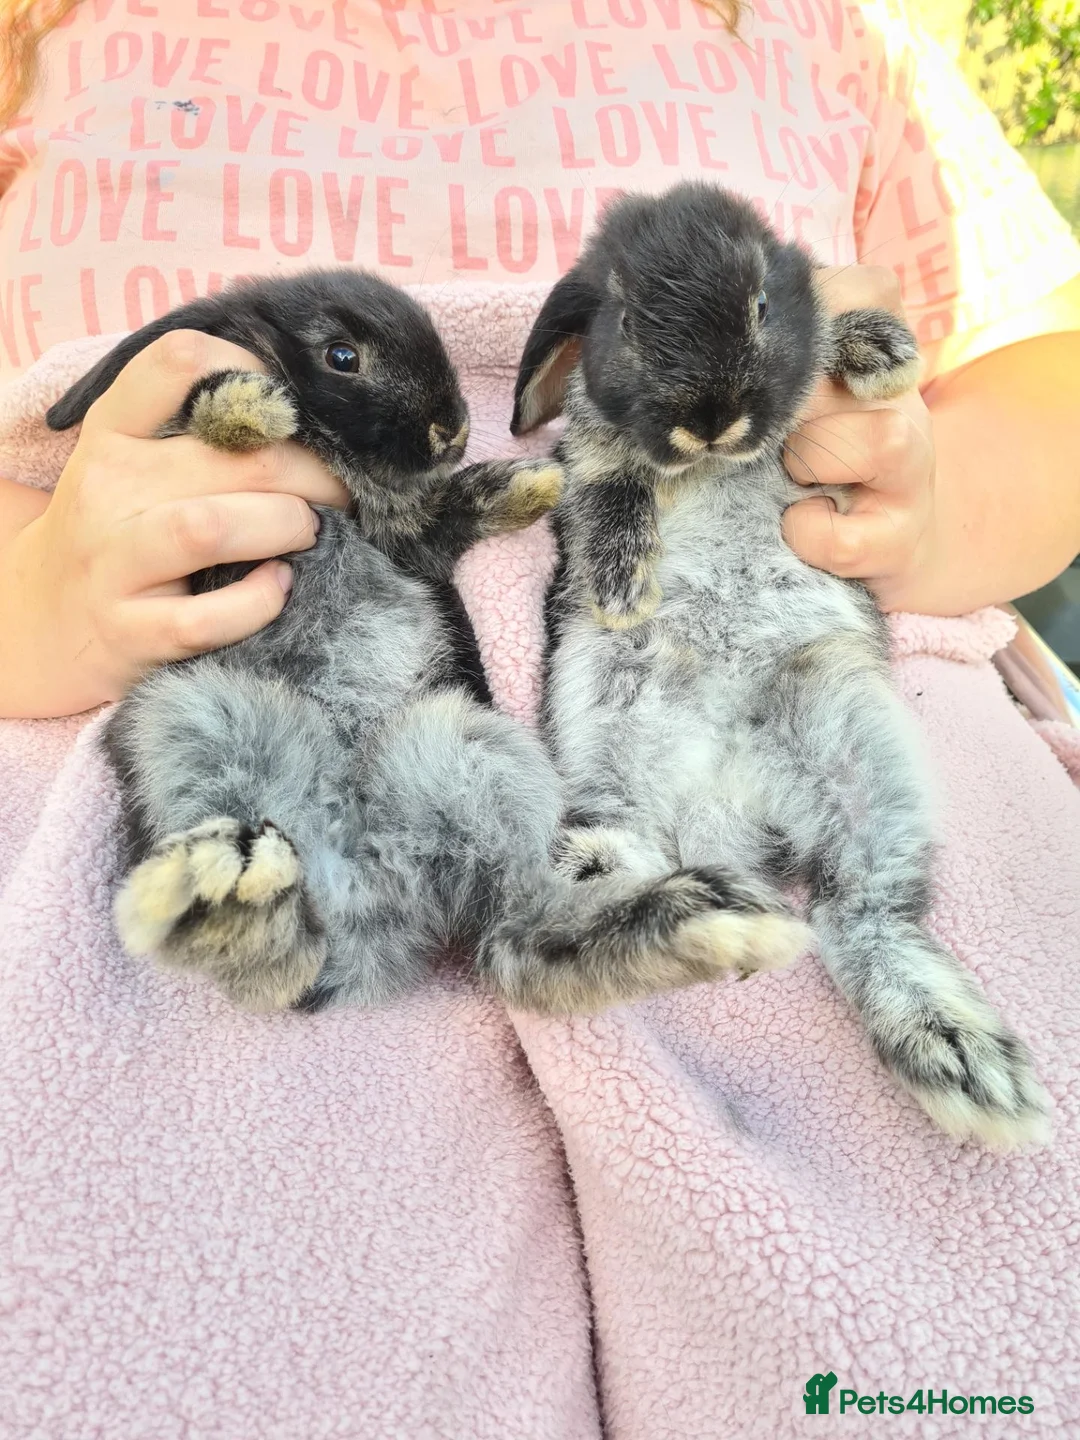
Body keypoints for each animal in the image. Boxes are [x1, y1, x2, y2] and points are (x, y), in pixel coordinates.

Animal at [47, 268, 810, 1015]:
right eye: (341, 356)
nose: (453, 430)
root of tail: (370, 879)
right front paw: (247, 405)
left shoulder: (408, 547)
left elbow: (434, 518)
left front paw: (534, 483)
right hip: (186, 717)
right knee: (295, 961)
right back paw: (225, 887)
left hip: (463, 744)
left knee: (515, 938)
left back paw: (704, 920)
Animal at [511, 182, 1049, 1146]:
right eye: (627, 321)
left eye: (765, 303)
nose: (712, 420)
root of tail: (723, 813)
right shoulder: (592, 443)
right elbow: (607, 470)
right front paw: (619, 580)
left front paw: (879, 354)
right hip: (599, 769)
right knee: (576, 914)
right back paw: (682, 912)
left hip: (855, 740)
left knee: (858, 913)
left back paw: (960, 1057)